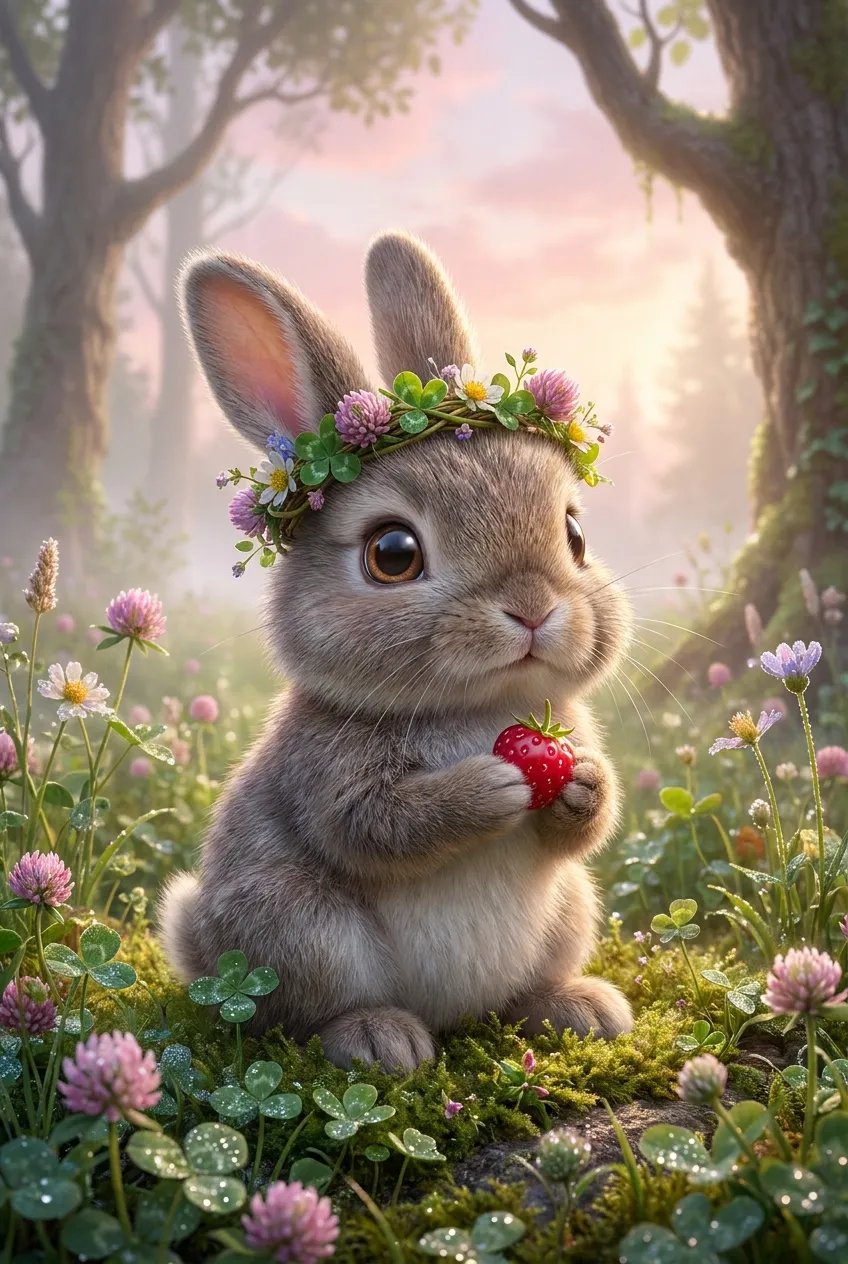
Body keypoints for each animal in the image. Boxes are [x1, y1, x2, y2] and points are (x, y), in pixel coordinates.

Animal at [158, 230, 634, 1070]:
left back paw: (579, 1007)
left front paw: (580, 783)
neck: (478, 711)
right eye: (392, 553)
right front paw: (492, 787)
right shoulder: (329, 777)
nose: (534, 607)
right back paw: (381, 1039)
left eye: (575, 534)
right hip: (301, 927)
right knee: (309, 1011)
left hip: (571, 909)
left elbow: (587, 819)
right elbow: (376, 826)